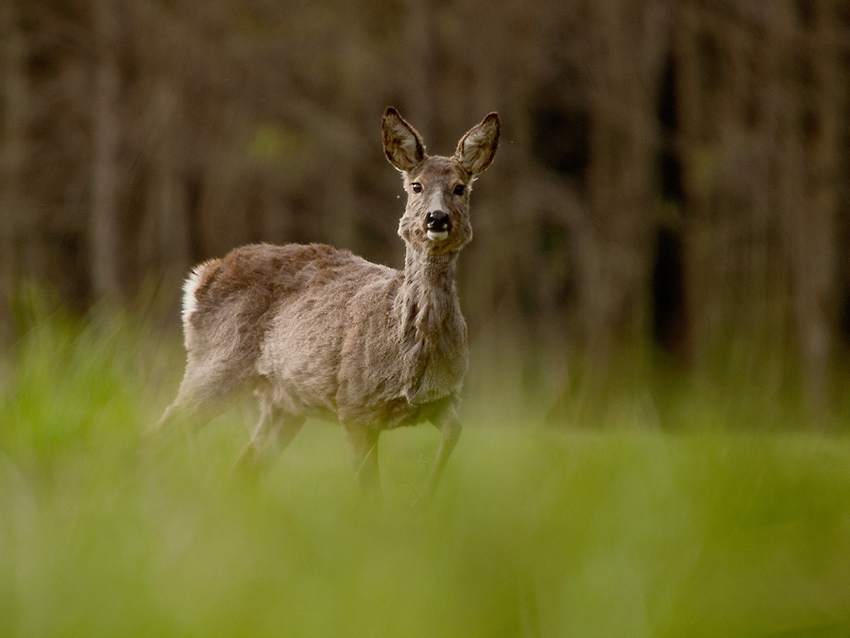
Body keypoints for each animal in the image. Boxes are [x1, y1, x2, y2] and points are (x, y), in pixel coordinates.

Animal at [154, 107, 496, 502]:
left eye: (460, 187)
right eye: (416, 186)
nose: (436, 218)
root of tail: (200, 277)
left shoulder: (444, 398)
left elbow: (454, 434)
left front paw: (423, 499)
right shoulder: (354, 405)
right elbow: (369, 490)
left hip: (284, 400)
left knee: (244, 464)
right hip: (215, 363)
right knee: (160, 432)